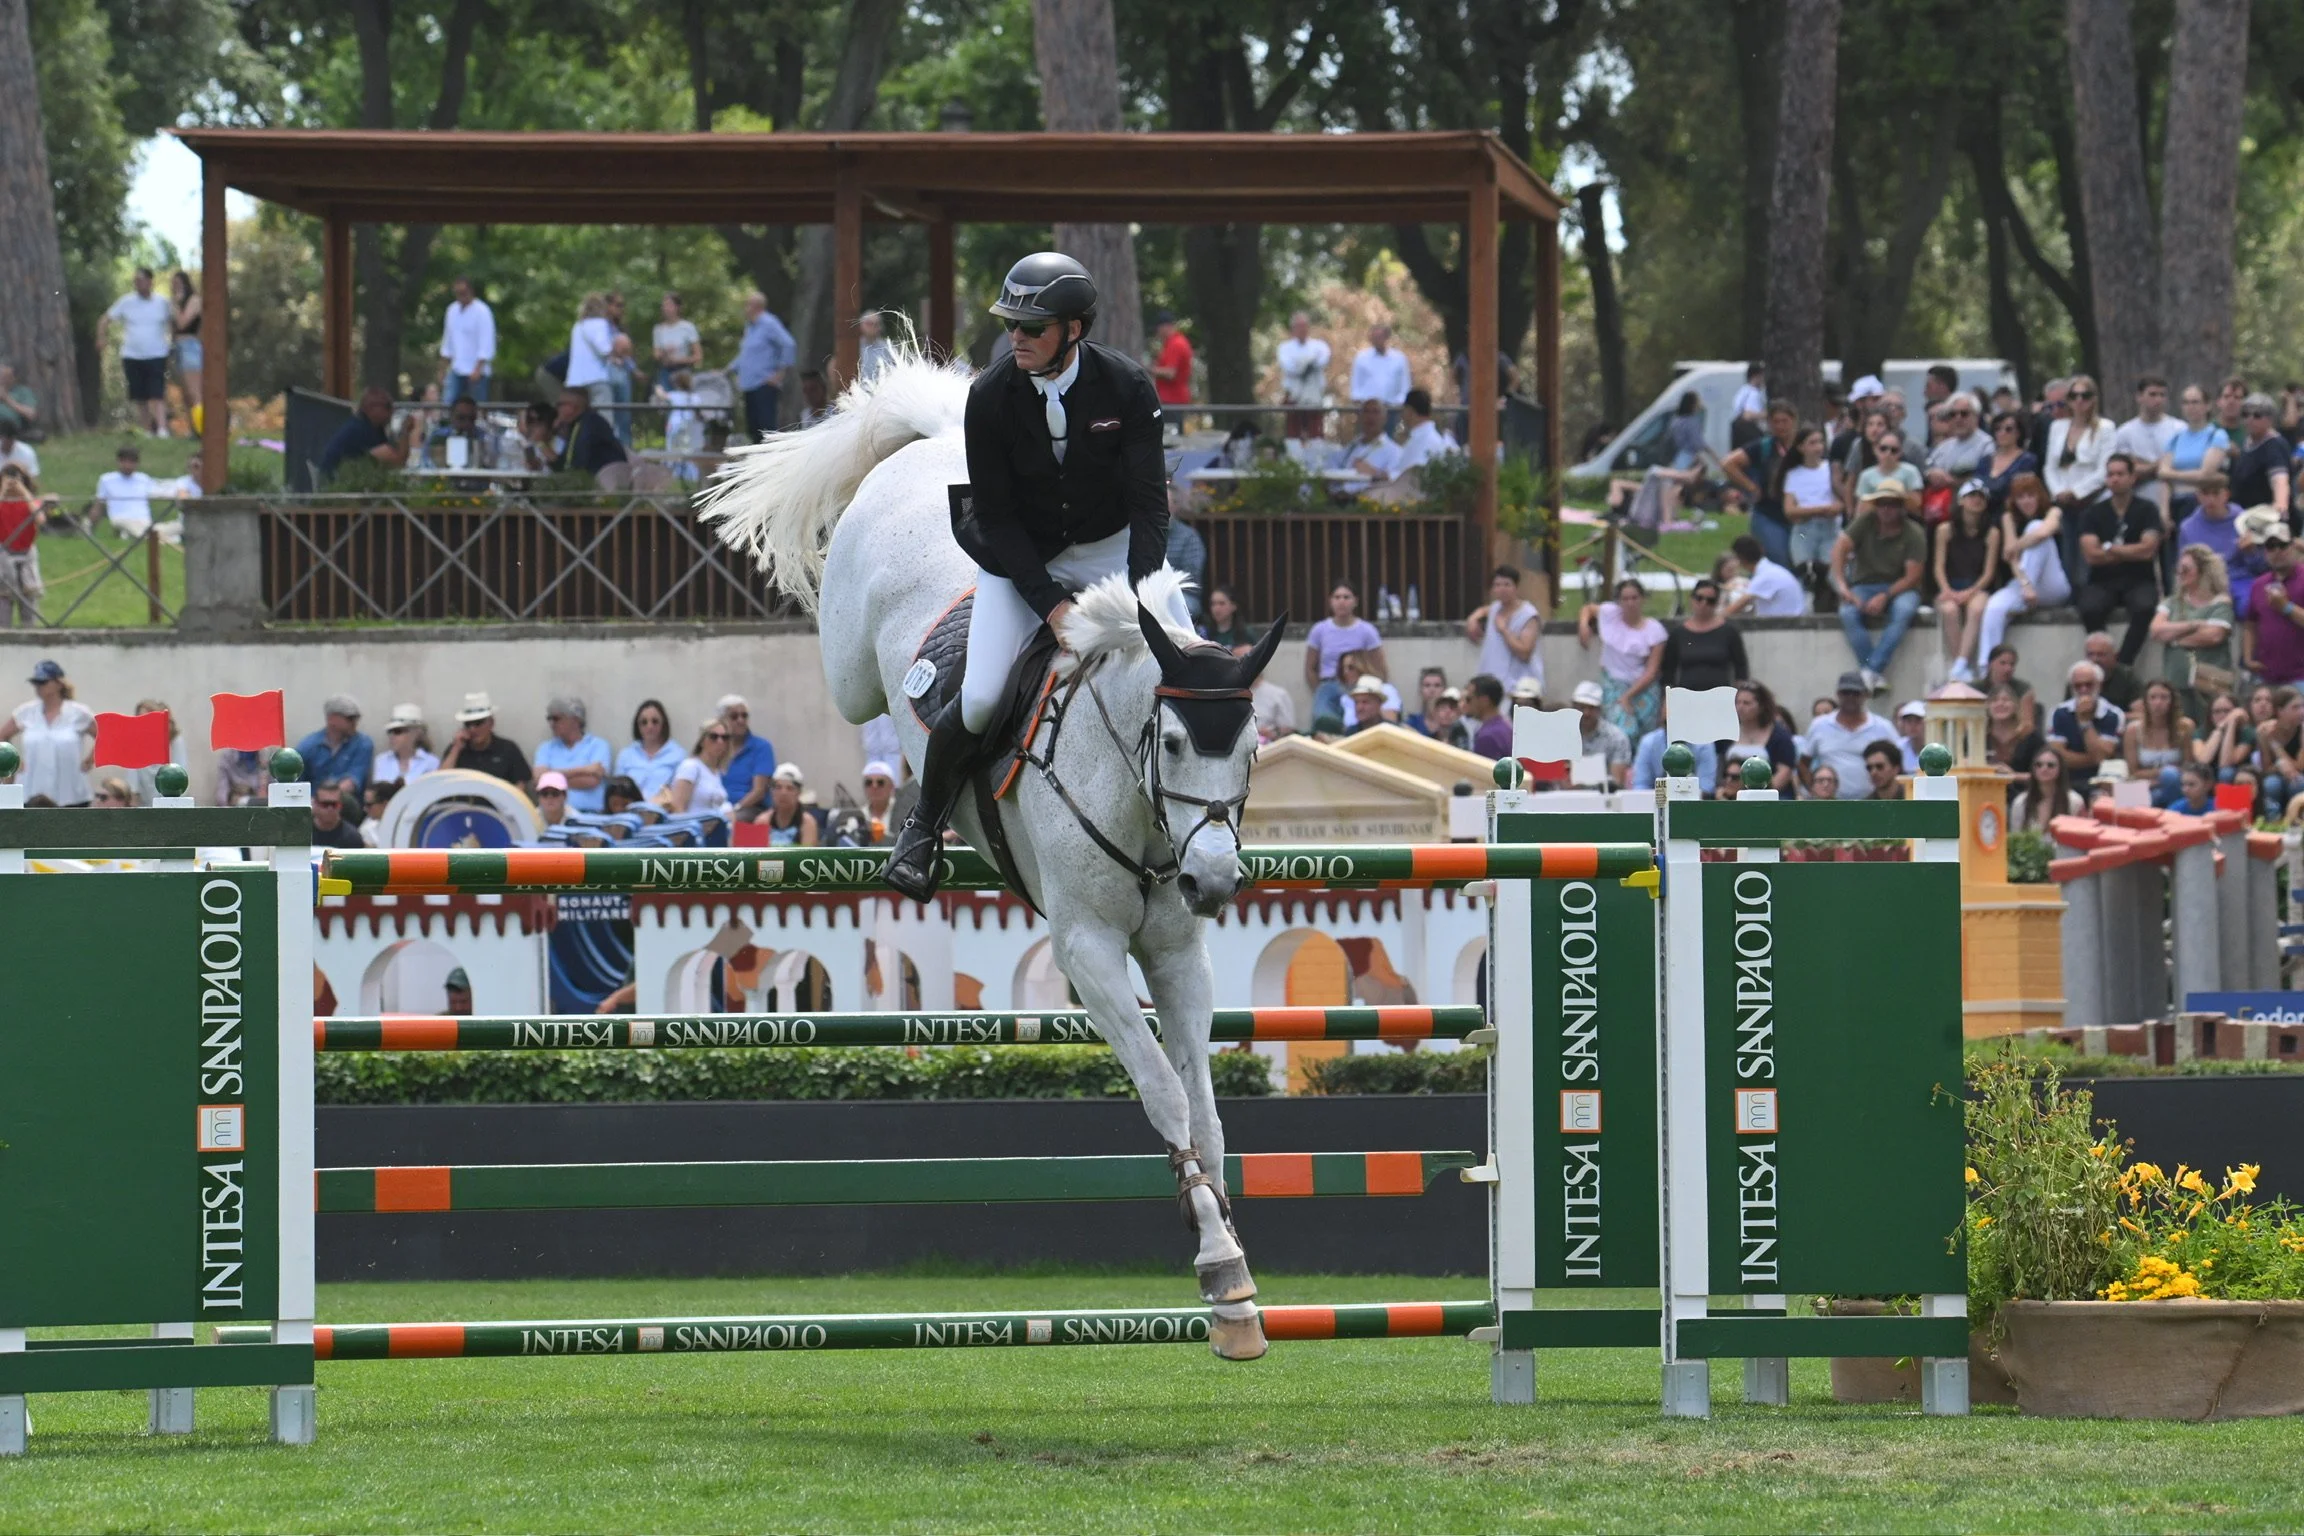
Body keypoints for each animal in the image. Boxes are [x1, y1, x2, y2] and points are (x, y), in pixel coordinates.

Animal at [702, 350, 1286, 1360]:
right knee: (888, 699)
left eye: (1250, 750)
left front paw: (1232, 1279)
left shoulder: (1177, 953)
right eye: (1172, 743)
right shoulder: (1089, 951)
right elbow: (1164, 1095)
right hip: (852, 667)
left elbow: (1206, 1113)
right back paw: (907, 826)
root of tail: (936, 439)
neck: (1133, 796)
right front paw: (1219, 1265)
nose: (1212, 880)